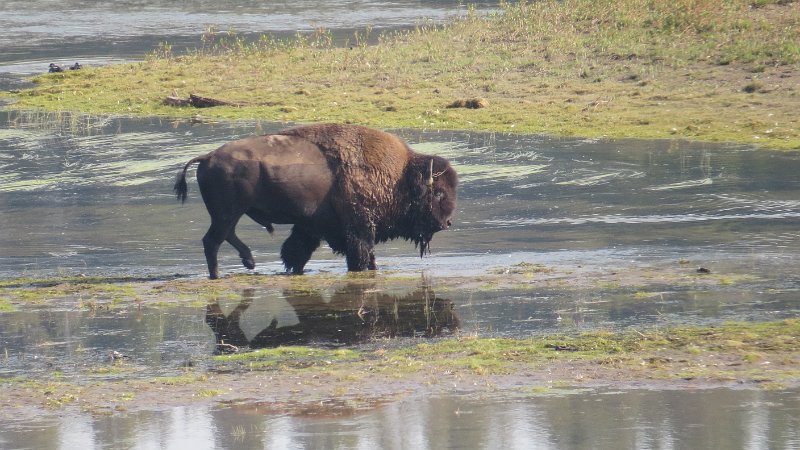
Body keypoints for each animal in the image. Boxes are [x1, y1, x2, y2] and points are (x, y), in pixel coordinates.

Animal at [174, 123, 458, 279]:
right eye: (438, 193)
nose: (446, 223)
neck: (400, 176)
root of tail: (207, 157)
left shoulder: (311, 227)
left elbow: (295, 252)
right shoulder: (359, 228)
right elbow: (362, 256)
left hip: (231, 213)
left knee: (225, 236)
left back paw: (249, 262)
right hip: (227, 212)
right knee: (213, 241)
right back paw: (219, 274)